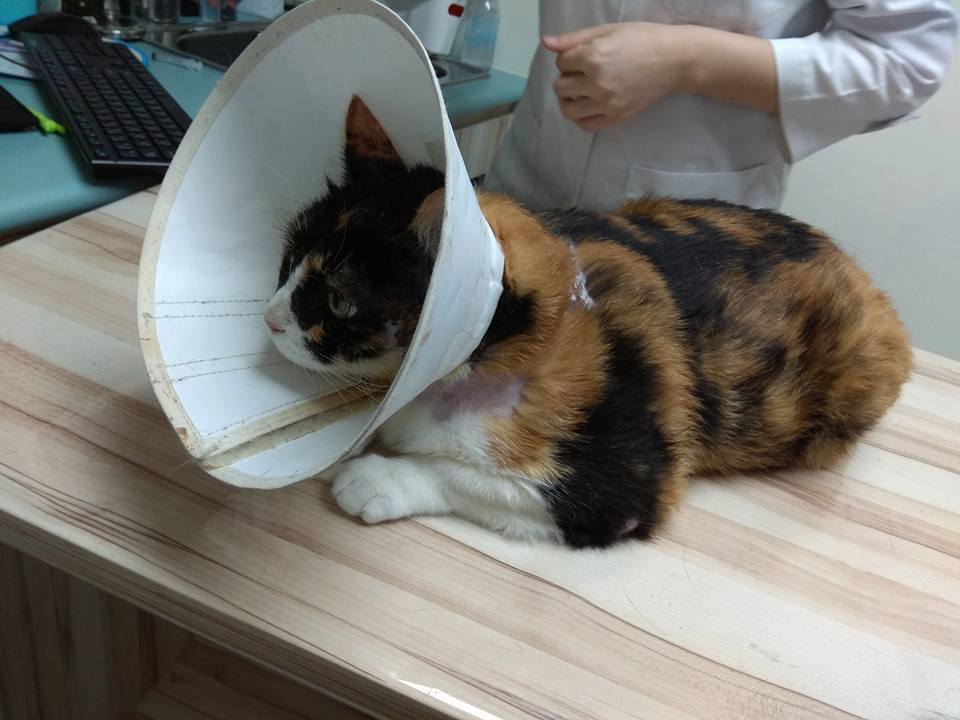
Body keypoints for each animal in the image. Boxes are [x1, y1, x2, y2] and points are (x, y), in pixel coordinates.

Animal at [263, 96, 912, 548]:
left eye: (340, 302)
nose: (268, 319)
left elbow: (473, 478)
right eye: (289, 259)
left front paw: (377, 479)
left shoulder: (626, 482)